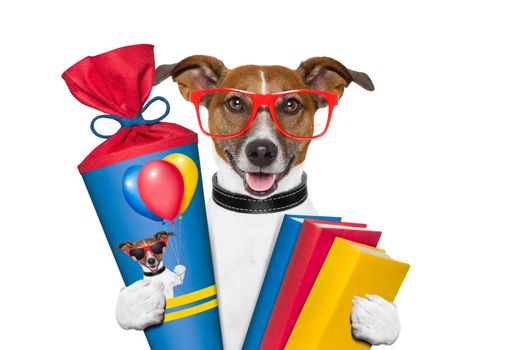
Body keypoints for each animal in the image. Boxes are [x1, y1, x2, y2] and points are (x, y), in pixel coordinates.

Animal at [114, 56, 400, 348]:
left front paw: (377, 316)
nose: (261, 151)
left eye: (291, 104)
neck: (257, 214)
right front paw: (138, 302)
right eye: (235, 103)